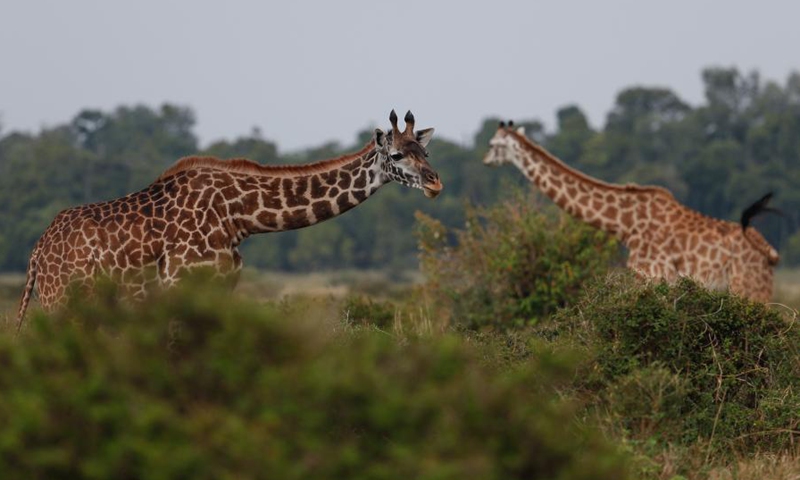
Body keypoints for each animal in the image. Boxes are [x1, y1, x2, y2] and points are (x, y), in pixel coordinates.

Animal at [16, 110, 442, 328]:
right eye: (397, 155)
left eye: (425, 151)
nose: (435, 183)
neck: (238, 216)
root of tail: (36, 254)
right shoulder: (179, 288)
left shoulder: (220, 287)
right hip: (61, 304)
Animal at [483, 122, 779, 302]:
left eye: (492, 144)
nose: (485, 161)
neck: (623, 223)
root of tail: (770, 252)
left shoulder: (651, 275)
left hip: (749, 287)